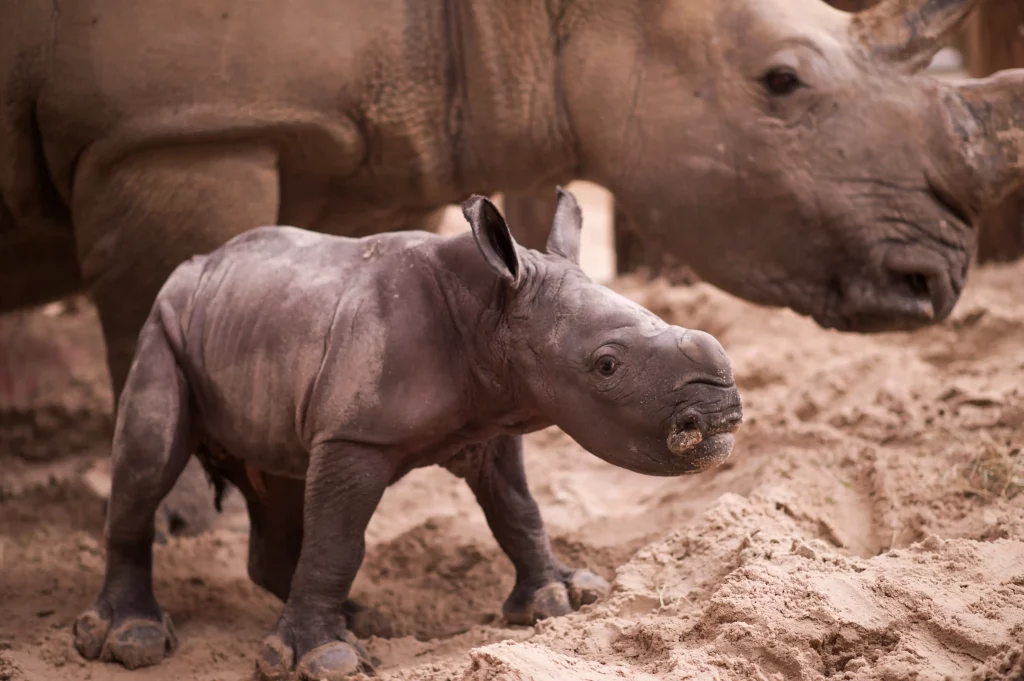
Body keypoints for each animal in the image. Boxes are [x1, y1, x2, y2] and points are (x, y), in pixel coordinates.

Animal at [2, 0, 1024, 533]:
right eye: (781, 83)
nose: (937, 276)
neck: (520, 19)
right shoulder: (175, 125)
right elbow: (150, 303)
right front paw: (182, 519)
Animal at [72, 189, 744, 679]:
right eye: (606, 365)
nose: (721, 416)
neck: (492, 309)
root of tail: (199, 264)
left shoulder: (490, 423)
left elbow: (519, 510)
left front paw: (561, 600)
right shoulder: (356, 436)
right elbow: (339, 541)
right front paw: (325, 660)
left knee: (282, 480)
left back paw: (367, 618)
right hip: (163, 324)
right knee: (150, 458)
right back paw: (132, 641)